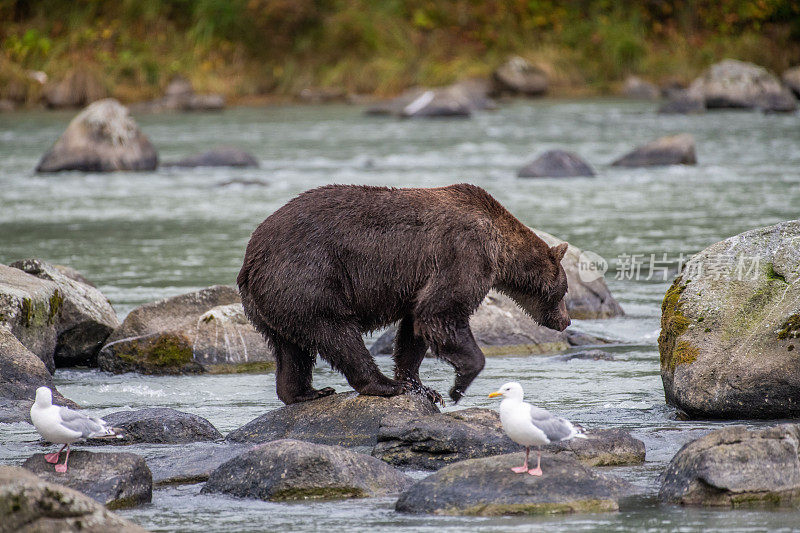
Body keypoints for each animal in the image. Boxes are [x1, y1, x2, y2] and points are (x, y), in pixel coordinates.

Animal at [236, 182, 568, 404]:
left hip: (272, 302)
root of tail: (251, 259)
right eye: (564, 290)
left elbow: (414, 330)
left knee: (291, 349)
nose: (565, 321)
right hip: (309, 277)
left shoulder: (420, 283)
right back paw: (382, 385)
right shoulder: (464, 252)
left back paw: (307, 392)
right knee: (337, 333)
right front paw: (456, 387)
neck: (501, 248)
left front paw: (423, 387)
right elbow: (441, 313)